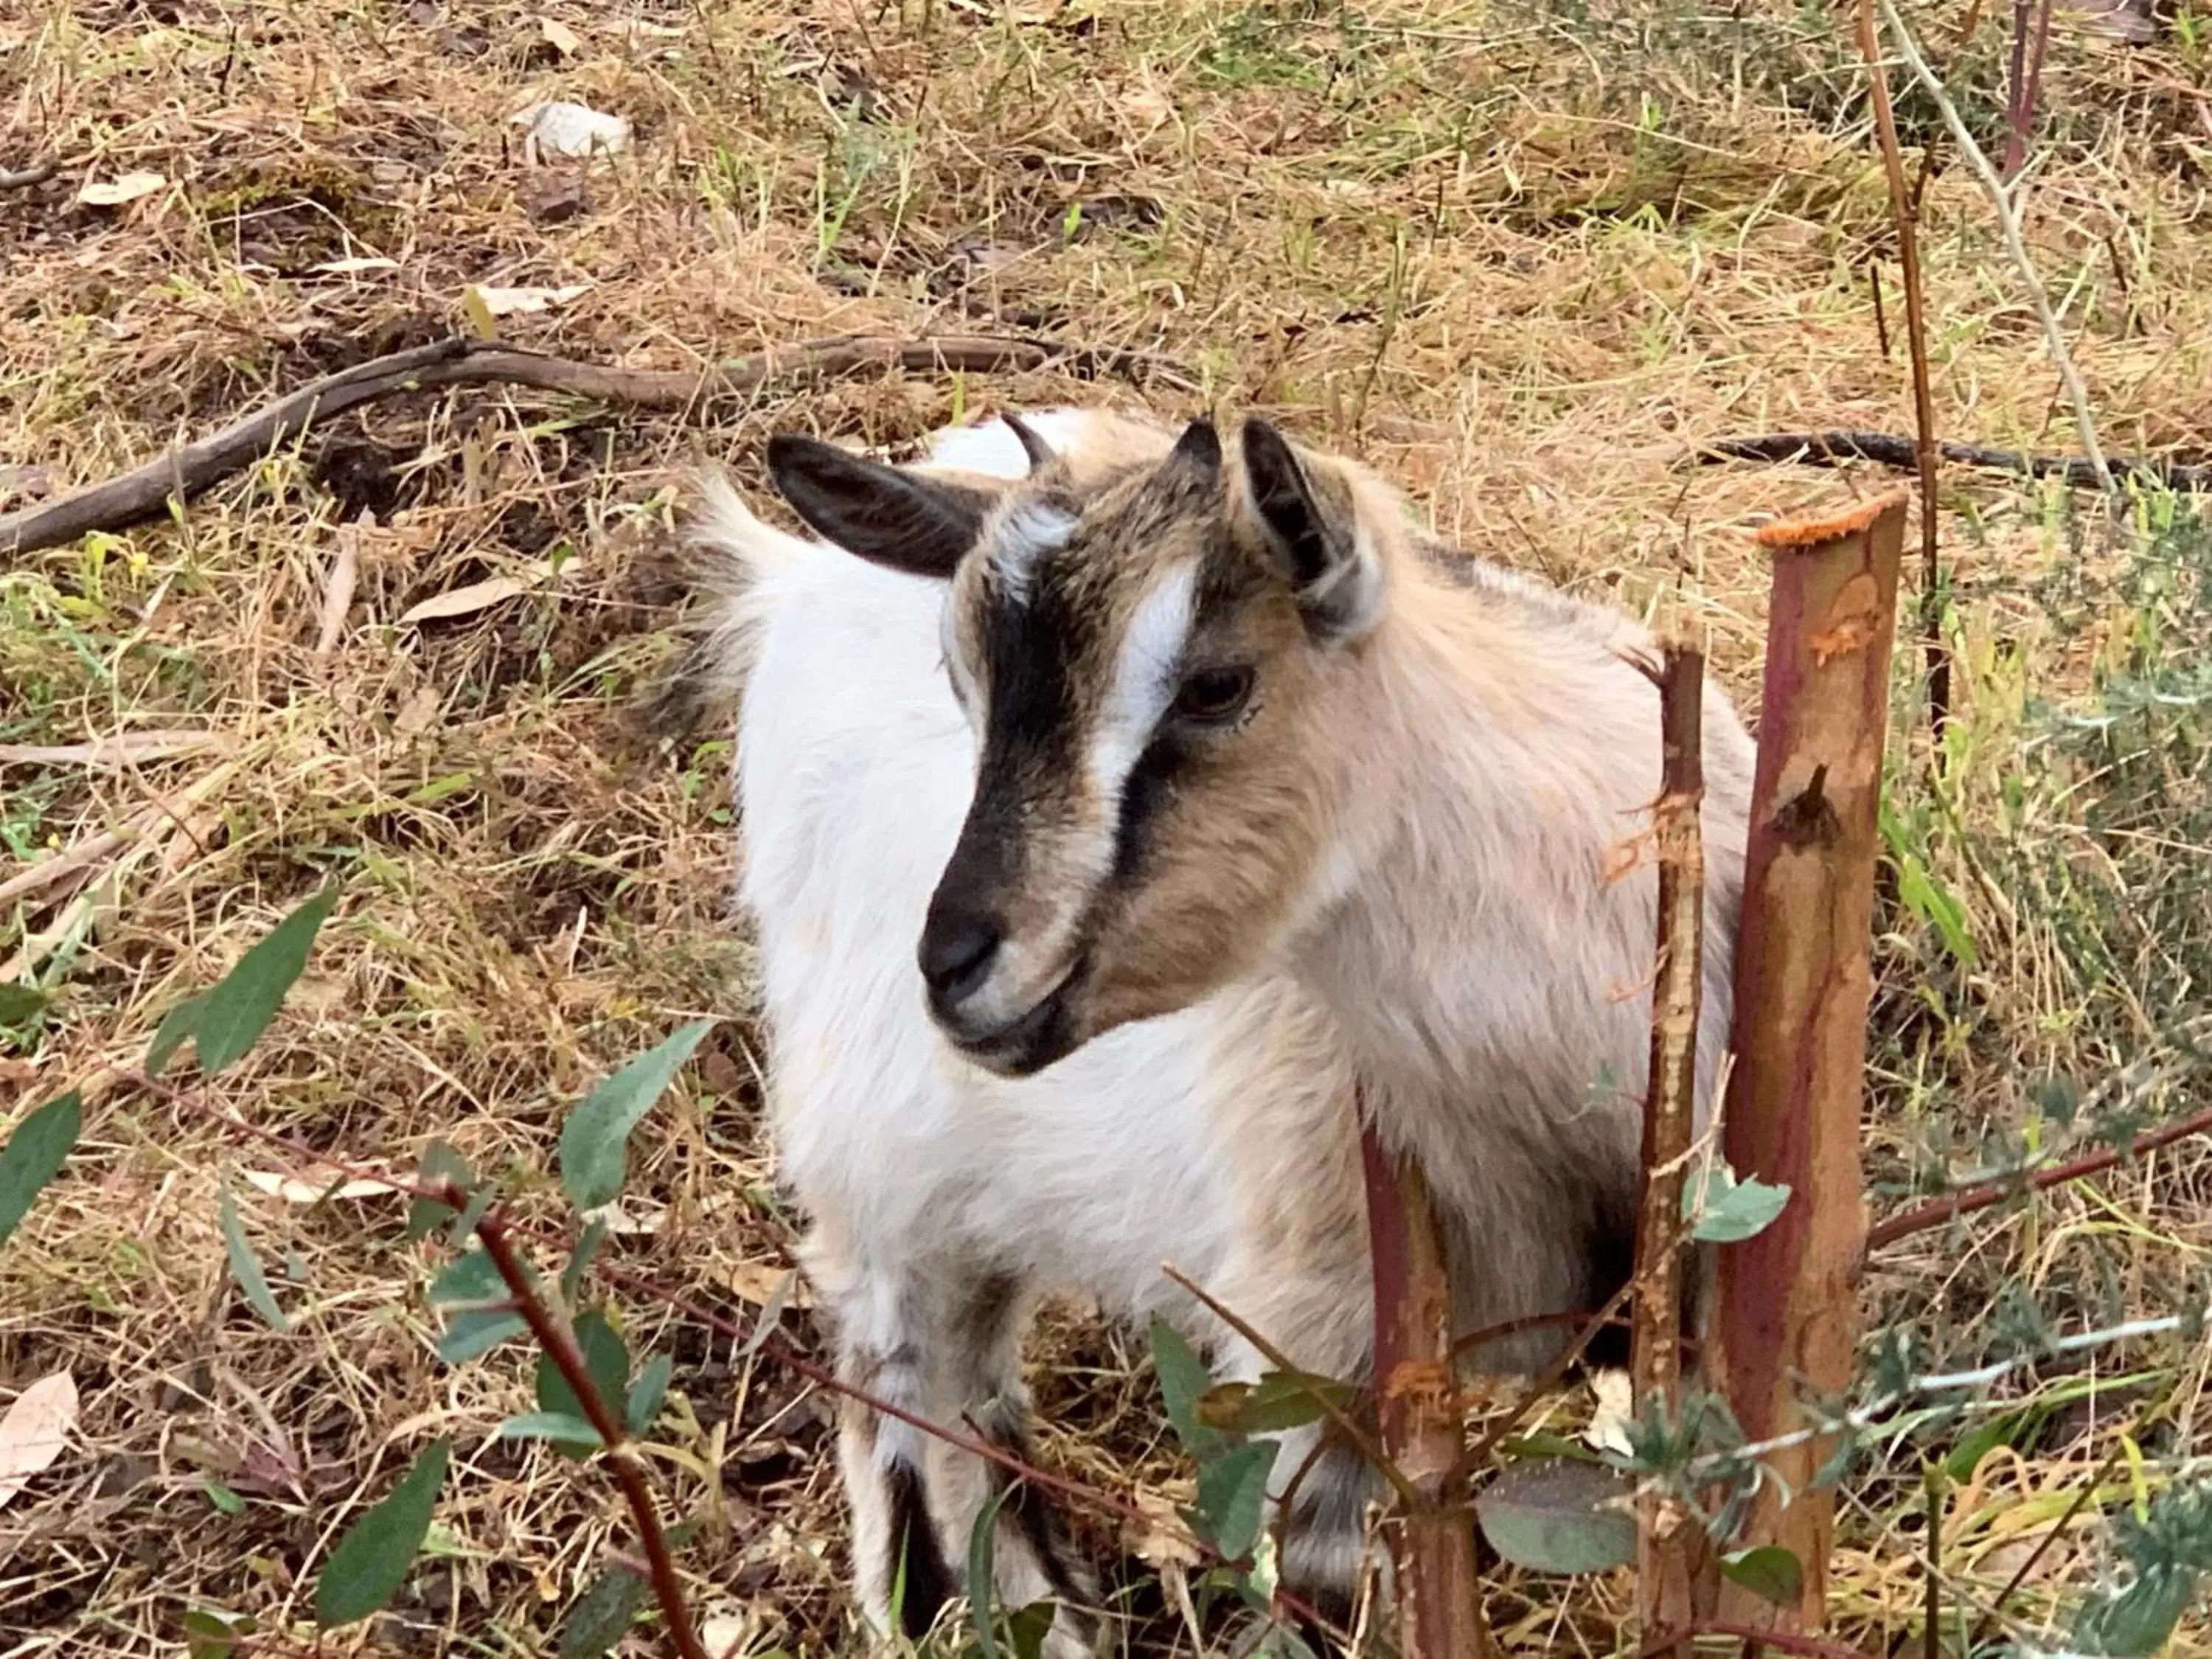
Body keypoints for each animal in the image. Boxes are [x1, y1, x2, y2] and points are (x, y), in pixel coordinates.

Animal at [664, 409, 1752, 1655]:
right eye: (962, 682)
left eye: (1217, 685)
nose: (954, 967)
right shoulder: (1310, 1350)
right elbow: (1316, 1581)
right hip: (874, 1147)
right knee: (907, 1370)